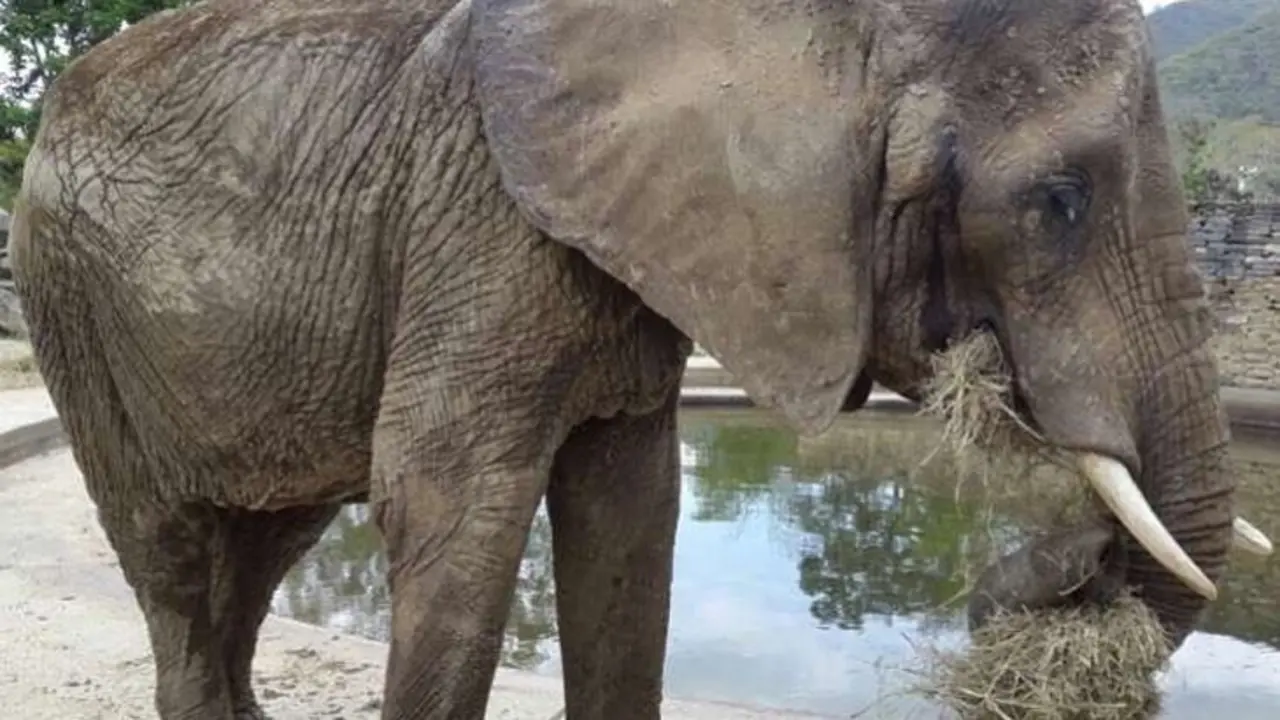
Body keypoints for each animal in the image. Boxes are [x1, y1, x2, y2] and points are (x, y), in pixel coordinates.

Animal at [7, 0, 1274, 717]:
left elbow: (628, 520)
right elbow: (452, 510)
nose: (1070, 563)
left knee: (264, 545)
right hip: (69, 292)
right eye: (1057, 201)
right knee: (174, 555)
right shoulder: (479, 222)